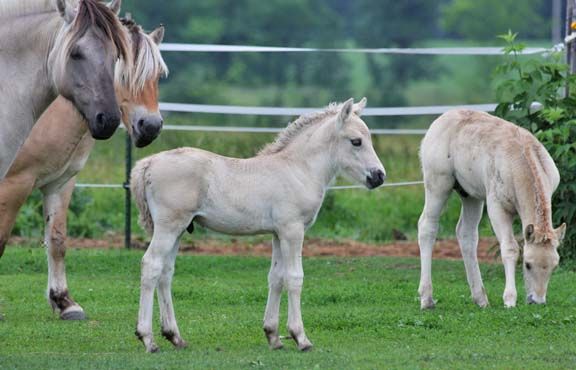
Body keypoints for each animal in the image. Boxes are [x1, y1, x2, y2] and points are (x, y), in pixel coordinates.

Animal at [0, 18, 168, 318]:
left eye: (158, 74)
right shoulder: (14, 184)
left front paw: (64, 302)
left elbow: (57, 240)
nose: (150, 126)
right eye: (120, 71)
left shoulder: (61, 182)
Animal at [416, 109, 564, 310]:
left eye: (554, 266)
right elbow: (510, 248)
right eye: (527, 264)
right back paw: (427, 298)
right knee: (427, 227)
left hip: (470, 195)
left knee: (466, 234)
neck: (522, 159)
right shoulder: (496, 207)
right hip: (438, 184)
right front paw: (509, 299)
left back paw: (480, 299)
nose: (537, 301)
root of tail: (441, 119)